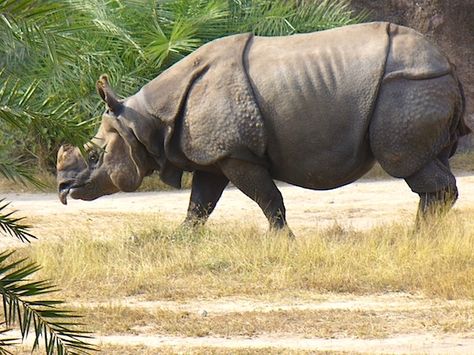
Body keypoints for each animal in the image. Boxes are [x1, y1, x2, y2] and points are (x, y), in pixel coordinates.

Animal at [56, 23, 470, 234]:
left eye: (93, 156)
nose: (63, 190)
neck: (147, 121)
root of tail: (448, 62)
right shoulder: (215, 154)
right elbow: (199, 205)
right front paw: (181, 241)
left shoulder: (236, 153)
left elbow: (268, 199)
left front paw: (283, 242)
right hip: (418, 85)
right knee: (430, 163)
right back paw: (427, 236)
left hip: (408, 85)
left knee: (406, 161)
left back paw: (419, 237)